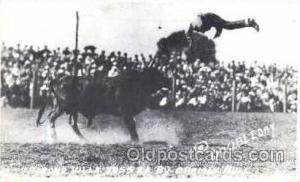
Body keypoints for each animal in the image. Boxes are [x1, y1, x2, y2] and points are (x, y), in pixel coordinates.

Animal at [36, 64, 170, 141]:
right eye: (156, 75)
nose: (167, 80)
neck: (135, 82)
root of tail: (59, 79)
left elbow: (132, 124)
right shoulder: (125, 111)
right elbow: (131, 124)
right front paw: (135, 139)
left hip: (73, 110)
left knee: (73, 124)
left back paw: (84, 139)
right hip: (62, 106)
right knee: (52, 118)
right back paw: (54, 138)